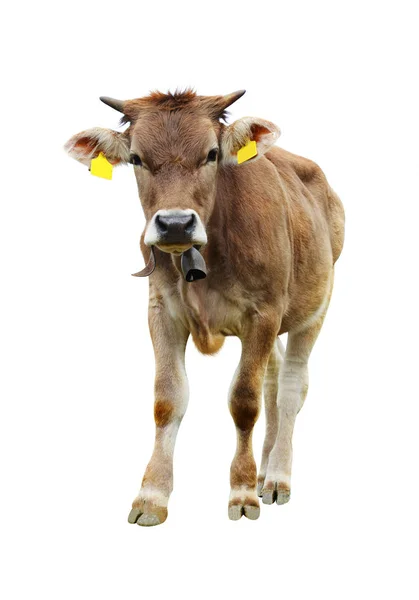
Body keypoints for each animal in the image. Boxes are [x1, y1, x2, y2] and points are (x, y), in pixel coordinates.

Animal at [65, 88, 344, 524]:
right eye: (136, 158)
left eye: (212, 154)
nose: (175, 224)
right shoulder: (162, 311)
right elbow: (167, 399)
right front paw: (152, 495)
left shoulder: (263, 313)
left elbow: (244, 401)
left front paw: (241, 492)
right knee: (274, 380)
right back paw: (265, 469)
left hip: (314, 307)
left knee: (291, 386)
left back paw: (277, 476)